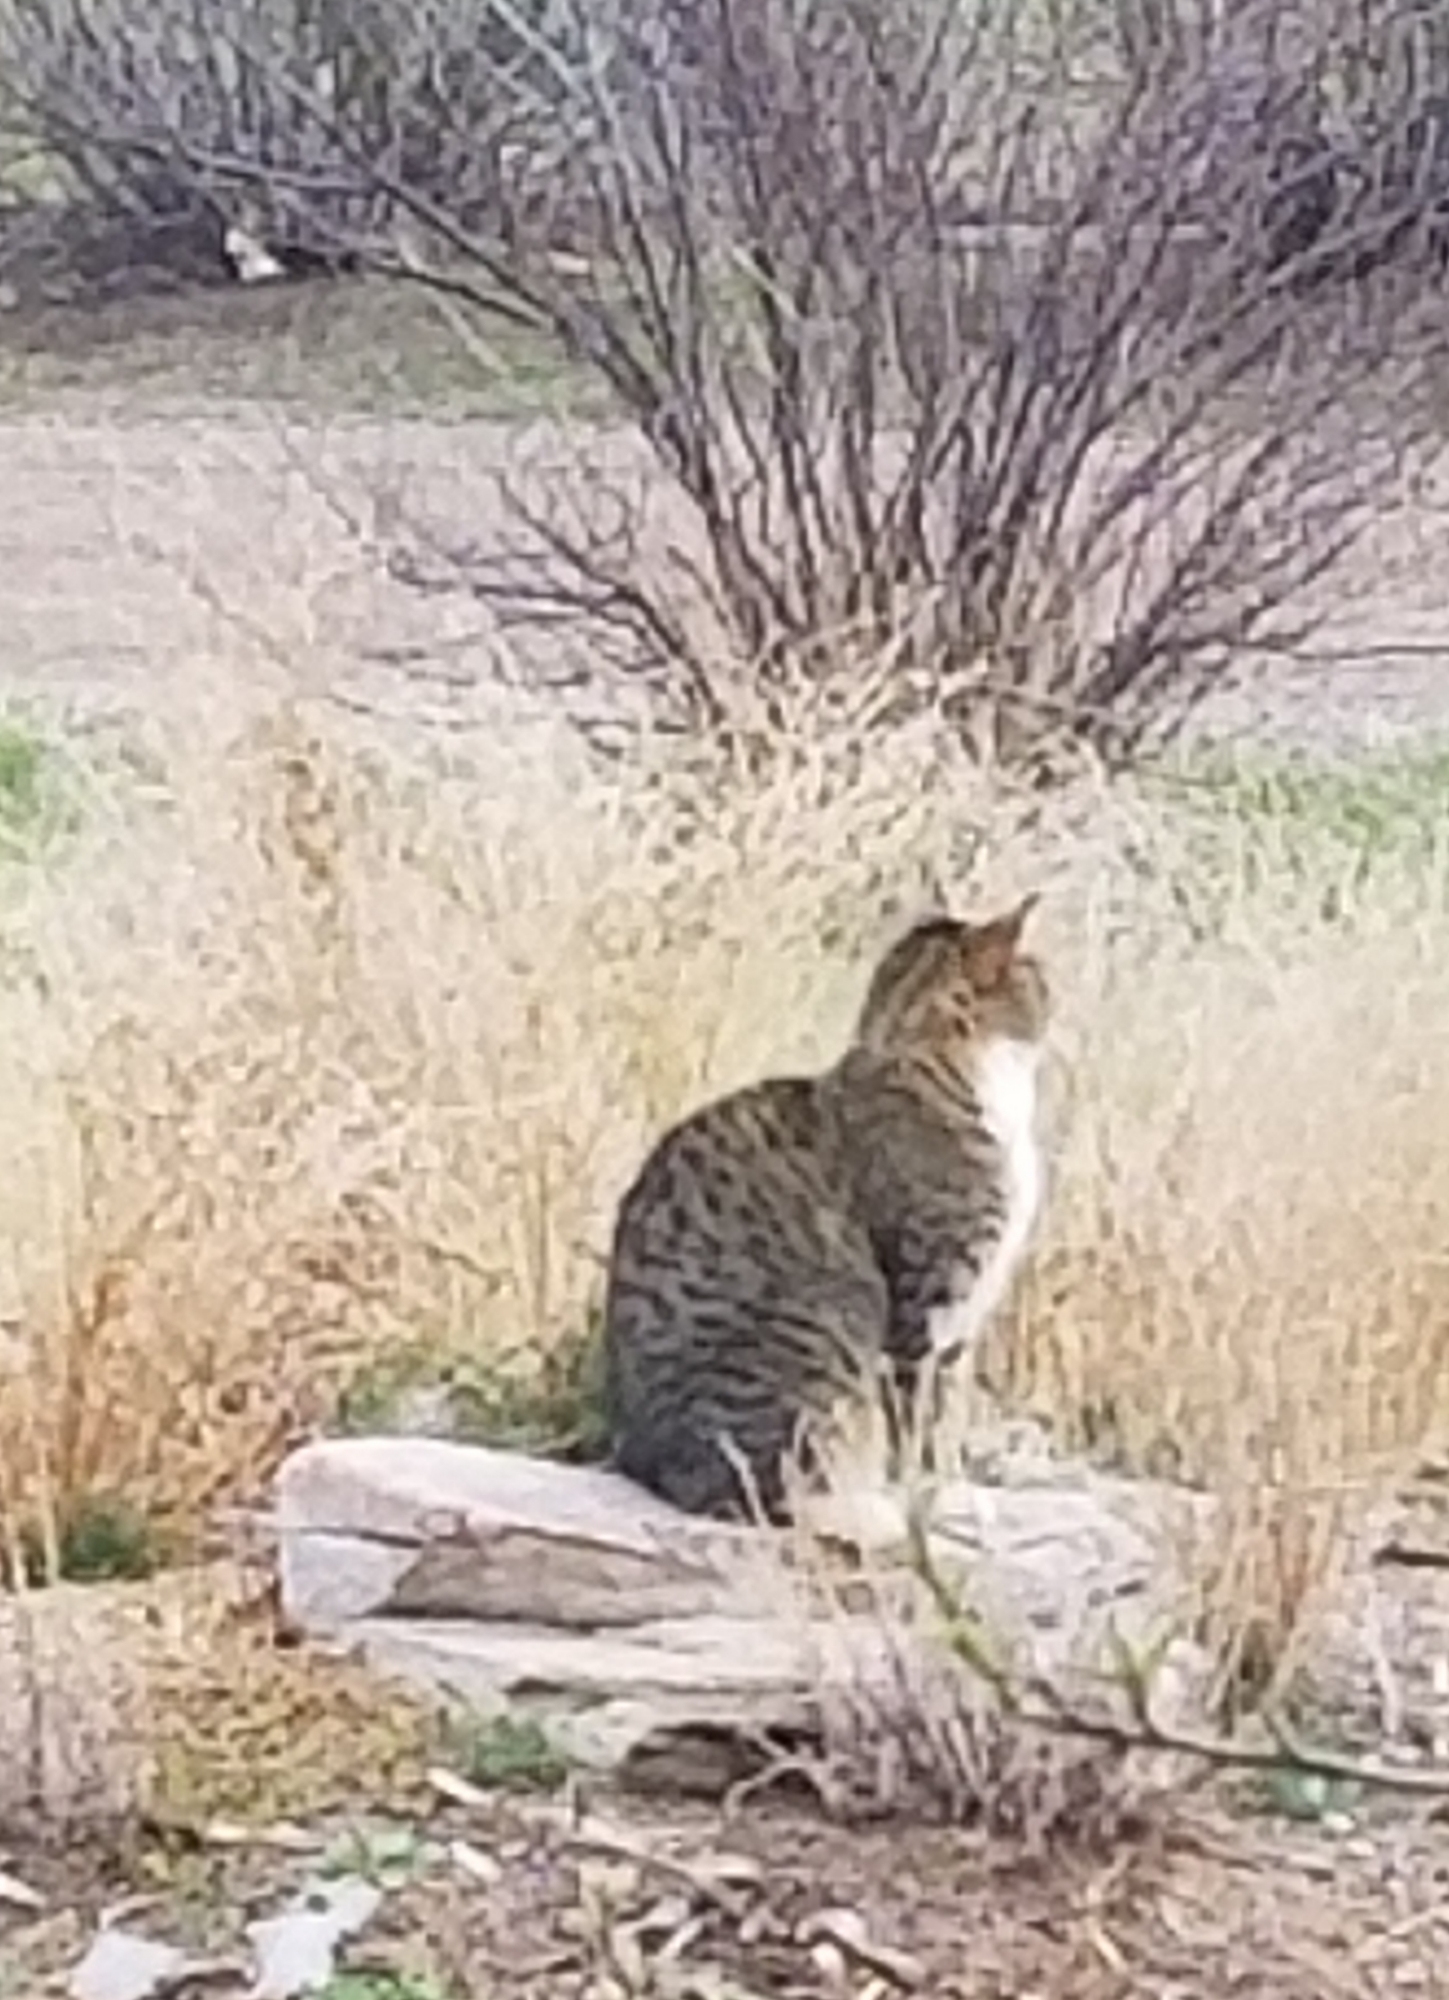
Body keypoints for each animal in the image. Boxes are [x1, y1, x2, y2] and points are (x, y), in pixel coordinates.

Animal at [600, 895, 1049, 1523]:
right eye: (1037, 972)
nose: (1055, 992)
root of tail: (661, 1470)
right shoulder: (926, 1303)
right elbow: (921, 1423)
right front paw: (935, 1499)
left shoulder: (961, 1325)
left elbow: (948, 1417)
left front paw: (958, 1485)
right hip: (825, 1342)